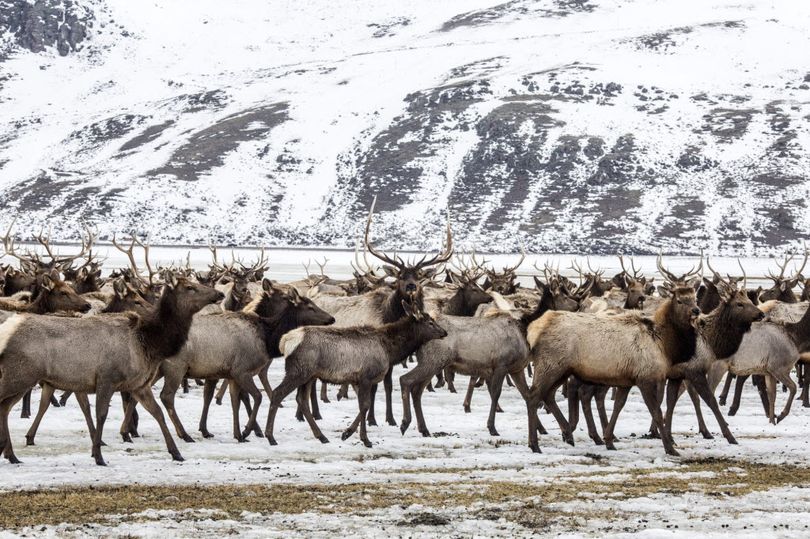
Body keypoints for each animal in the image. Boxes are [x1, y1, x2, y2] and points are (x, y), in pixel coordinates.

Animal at [0, 274, 223, 464]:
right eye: (190, 287)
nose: (219, 294)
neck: (148, 344)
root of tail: (7, 331)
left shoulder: (138, 384)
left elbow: (157, 412)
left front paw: (176, 452)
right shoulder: (107, 378)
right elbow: (101, 414)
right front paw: (98, 455)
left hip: (21, 379)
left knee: (4, 407)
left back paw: (11, 454)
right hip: (19, 375)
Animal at [266, 300, 446, 448]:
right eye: (430, 322)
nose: (444, 332)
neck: (390, 350)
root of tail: (284, 341)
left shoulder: (357, 380)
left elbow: (363, 407)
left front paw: (352, 434)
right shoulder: (366, 377)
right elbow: (365, 405)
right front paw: (359, 438)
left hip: (309, 376)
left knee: (301, 400)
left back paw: (322, 436)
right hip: (298, 372)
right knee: (277, 393)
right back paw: (270, 437)